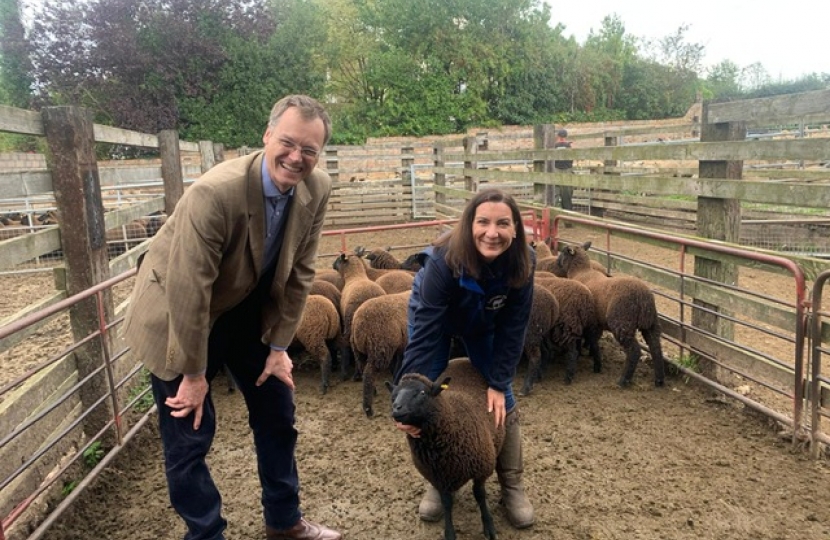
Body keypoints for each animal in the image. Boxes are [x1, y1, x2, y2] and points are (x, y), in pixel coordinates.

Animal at [386, 358, 508, 540]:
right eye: (394, 396)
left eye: (422, 393)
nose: (396, 409)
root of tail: (461, 359)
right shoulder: (439, 477)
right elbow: (446, 502)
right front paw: (449, 532)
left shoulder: (481, 468)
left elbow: (480, 496)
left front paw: (489, 527)